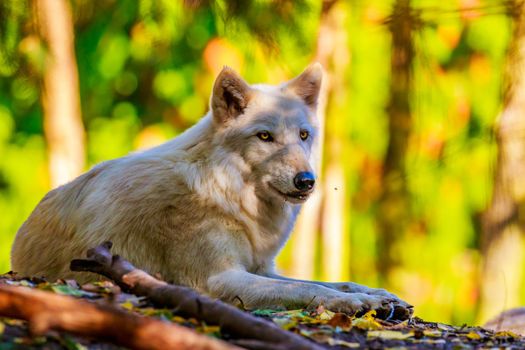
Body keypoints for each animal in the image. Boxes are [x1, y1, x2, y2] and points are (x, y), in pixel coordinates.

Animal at [11, 63, 410, 318]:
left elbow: (330, 282)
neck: (225, 192)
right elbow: (305, 290)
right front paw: (360, 304)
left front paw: (377, 295)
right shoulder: (219, 279)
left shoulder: (260, 267)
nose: (306, 181)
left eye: (303, 135)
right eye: (265, 137)